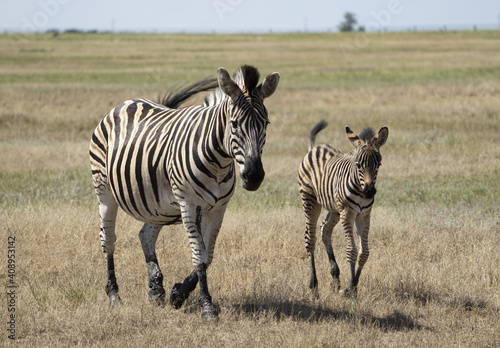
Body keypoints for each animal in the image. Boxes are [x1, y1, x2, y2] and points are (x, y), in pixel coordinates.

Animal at [90, 65, 282, 320]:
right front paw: (207, 306)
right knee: (108, 239)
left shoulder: (218, 209)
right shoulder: (189, 205)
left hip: (159, 205)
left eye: (266, 124)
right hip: (105, 191)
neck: (218, 161)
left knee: (145, 234)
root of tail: (126, 103)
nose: (253, 176)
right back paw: (114, 294)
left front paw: (177, 294)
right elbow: (199, 255)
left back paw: (156, 289)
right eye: (234, 124)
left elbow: (208, 256)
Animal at [298, 121, 388, 298]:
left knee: (325, 229)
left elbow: (364, 252)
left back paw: (335, 278)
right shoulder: (348, 213)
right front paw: (351, 288)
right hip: (310, 200)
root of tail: (315, 148)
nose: (369, 192)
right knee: (310, 239)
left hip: (335, 209)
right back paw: (314, 286)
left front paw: (352, 286)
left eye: (378, 165)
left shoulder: (364, 215)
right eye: (358, 165)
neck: (360, 189)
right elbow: (351, 251)